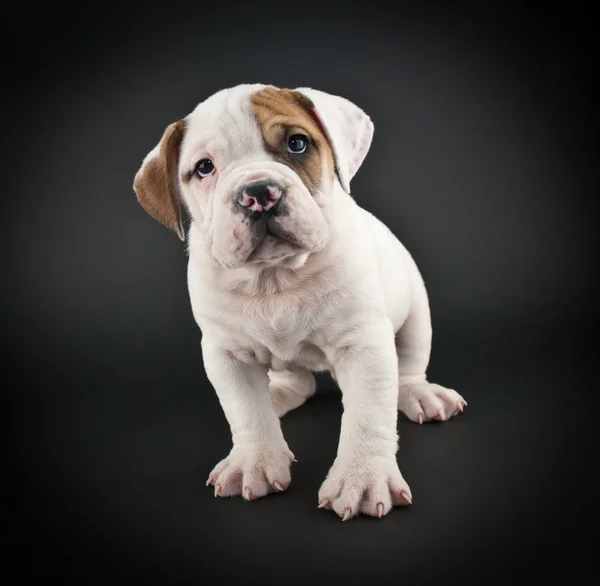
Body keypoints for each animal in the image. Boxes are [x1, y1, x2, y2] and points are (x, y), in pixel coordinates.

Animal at [134, 83, 466, 520]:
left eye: (297, 143)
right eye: (204, 168)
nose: (259, 194)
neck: (274, 278)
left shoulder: (365, 345)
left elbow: (367, 415)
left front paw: (362, 478)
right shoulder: (226, 353)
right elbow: (245, 409)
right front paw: (253, 462)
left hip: (415, 315)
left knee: (408, 368)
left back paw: (421, 395)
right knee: (296, 383)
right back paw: (275, 395)